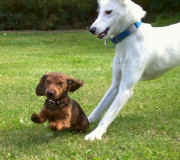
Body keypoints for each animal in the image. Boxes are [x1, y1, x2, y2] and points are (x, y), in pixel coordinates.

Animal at [84, 0, 180, 141]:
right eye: (99, 12)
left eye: (108, 11)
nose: (92, 30)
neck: (129, 37)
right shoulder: (115, 86)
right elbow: (99, 107)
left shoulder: (125, 89)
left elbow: (108, 114)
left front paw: (96, 133)